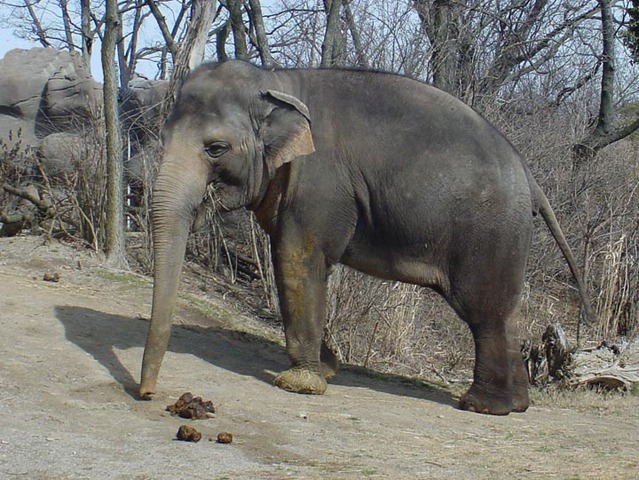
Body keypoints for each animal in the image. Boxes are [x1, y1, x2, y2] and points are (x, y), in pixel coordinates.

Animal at [141, 59, 596, 412]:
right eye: (160, 137)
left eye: (215, 148)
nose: (147, 395)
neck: (277, 80)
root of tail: (530, 177)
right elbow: (304, 265)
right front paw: (327, 368)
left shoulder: (319, 183)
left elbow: (296, 256)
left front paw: (301, 384)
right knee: (508, 312)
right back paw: (515, 404)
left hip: (491, 233)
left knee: (485, 312)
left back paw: (482, 406)